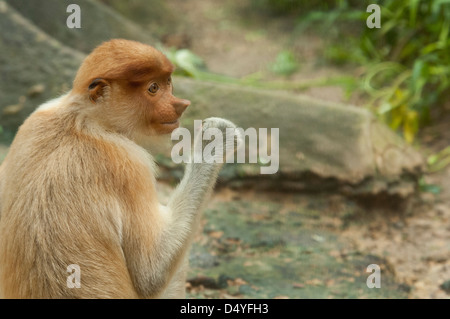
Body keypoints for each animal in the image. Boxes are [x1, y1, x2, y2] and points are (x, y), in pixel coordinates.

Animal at [0, 38, 243, 298]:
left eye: (168, 82)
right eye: (153, 88)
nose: (181, 105)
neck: (83, 119)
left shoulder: (37, 115)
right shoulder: (131, 164)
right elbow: (150, 274)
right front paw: (216, 140)